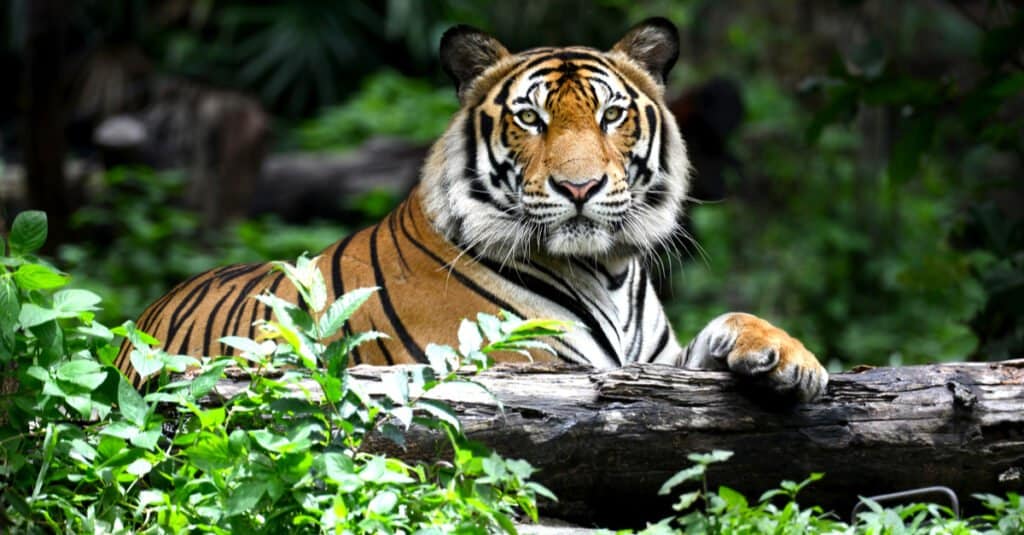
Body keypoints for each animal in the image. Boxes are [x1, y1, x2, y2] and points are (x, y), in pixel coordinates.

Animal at [114, 16, 831, 399]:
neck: (607, 271)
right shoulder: (519, 366)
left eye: (611, 115)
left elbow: (729, 322)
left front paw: (791, 359)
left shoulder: (653, 363)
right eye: (530, 118)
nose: (579, 188)